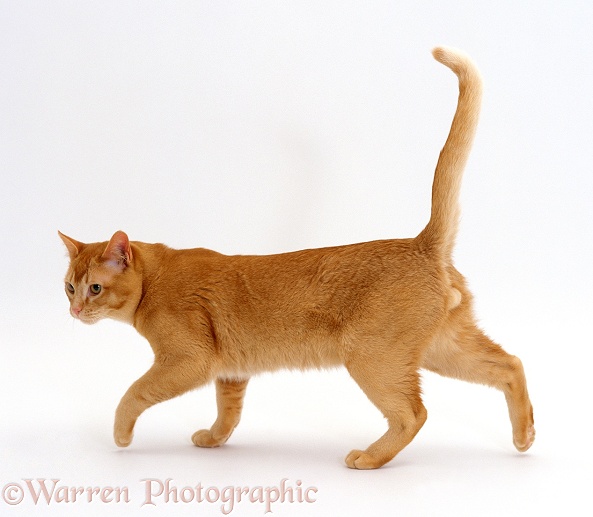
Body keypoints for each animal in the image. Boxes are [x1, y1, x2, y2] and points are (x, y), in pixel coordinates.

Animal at [59, 47, 532, 468]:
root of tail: (421, 243)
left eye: (95, 288)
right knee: (511, 363)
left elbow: (133, 393)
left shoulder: (188, 361)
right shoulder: (230, 370)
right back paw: (525, 435)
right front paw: (214, 439)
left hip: (374, 356)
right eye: (68, 287)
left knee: (413, 413)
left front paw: (121, 435)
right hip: (442, 346)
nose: (75, 310)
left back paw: (369, 458)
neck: (156, 279)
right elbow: (229, 411)